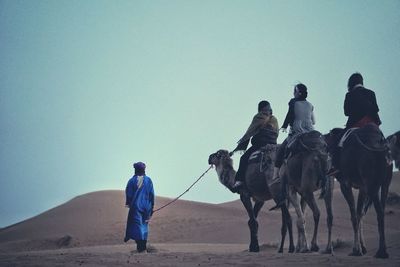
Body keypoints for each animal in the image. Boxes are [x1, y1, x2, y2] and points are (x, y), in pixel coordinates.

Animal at [324, 125, 390, 260]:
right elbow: (359, 214)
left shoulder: (346, 184)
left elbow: (355, 215)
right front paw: (362, 248)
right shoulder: (363, 187)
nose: (323, 138)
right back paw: (382, 251)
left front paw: (356, 250)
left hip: (370, 183)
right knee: (381, 212)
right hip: (383, 183)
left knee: (372, 212)